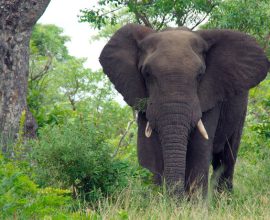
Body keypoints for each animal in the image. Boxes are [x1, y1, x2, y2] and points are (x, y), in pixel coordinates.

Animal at [99, 23, 270, 196]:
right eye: (147, 74)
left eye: (200, 74)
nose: (174, 197)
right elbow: (148, 150)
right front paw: (156, 200)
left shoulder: (210, 94)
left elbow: (198, 149)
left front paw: (194, 203)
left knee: (227, 158)